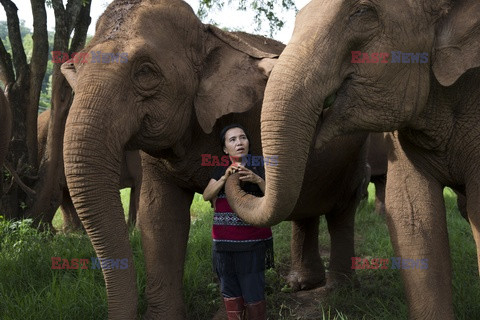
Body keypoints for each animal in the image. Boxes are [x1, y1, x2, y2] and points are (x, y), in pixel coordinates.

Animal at [60, 1, 368, 318]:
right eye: (77, 68)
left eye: (145, 71)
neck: (206, 36)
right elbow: (159, 217)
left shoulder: (253, 117)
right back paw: (302, 284)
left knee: (343, 209)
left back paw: (338, 290)